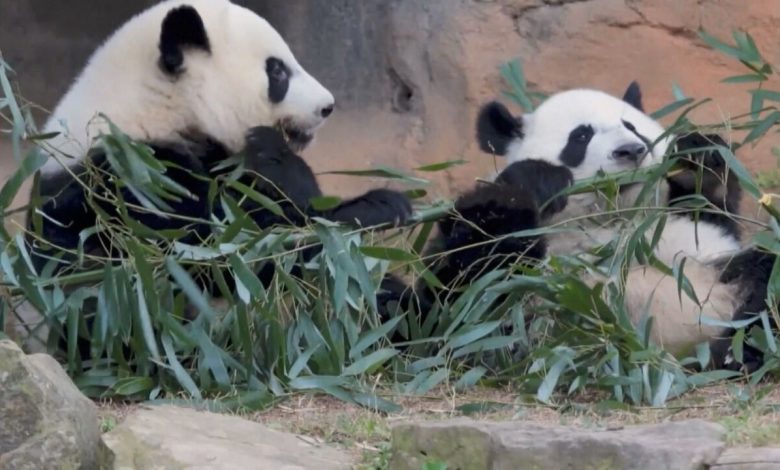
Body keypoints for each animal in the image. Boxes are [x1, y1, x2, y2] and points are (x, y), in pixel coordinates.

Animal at [28, 0, 412, 276]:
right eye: (277, 71)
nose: (327, 106)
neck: (158, 107)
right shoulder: (132, 180)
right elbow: (238, 248)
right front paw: (378, 205)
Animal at [395, 82, 775, 372]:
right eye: (580, 136)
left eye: (632, 126)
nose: (630, 151)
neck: (608, 219)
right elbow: (461, 294)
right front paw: (537, 180)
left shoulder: (681, 232)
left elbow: (710, 210)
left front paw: (699, 156)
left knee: (765, 276)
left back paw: (743, 351)